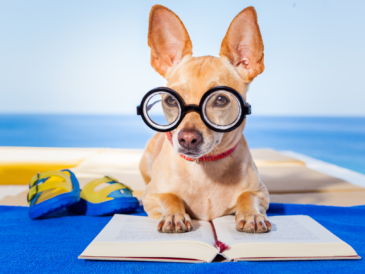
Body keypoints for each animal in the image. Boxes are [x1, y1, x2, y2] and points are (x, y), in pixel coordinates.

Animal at [139, 4, 270, 233]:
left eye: (220, 99)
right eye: (171, 101)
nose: (187, 138)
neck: (204, 167)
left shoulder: (262, 193)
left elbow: (247, 195)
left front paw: (252, 215)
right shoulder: (152, 195)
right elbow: (169, 197)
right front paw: (174, 215)